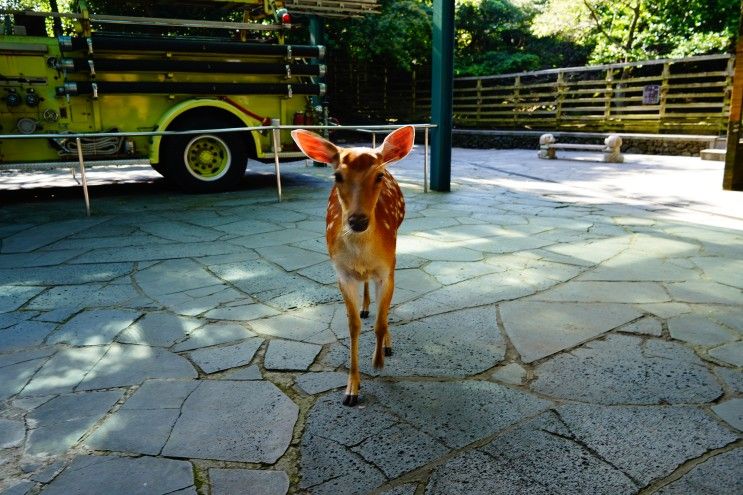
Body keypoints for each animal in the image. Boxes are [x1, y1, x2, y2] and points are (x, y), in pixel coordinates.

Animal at [292, 127, 418, 406]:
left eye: (378, 175)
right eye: (337, 175)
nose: (358, 220)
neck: (361, 255)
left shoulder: (387, 269)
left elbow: (381, 321)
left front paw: (378, 360)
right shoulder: (341, 273)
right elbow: (353, 327)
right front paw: (351, 390)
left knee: (384, 305)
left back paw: (386, 341)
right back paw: (365, 307)